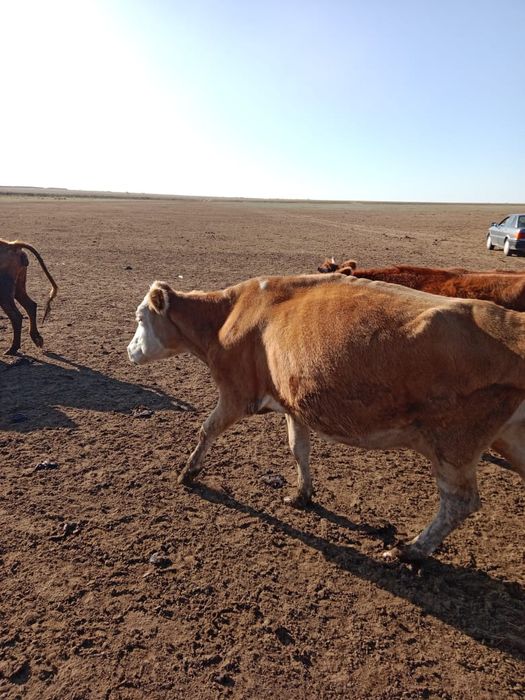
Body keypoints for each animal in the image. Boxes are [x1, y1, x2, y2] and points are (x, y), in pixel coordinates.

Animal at [128, 273, 525, 562]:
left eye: (140, 318)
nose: (130, 350)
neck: (228, 316)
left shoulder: (235, 395)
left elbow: (207, 430)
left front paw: (189, 473)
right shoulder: (293, 404)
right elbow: (298, 449)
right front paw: (301, 494)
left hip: (453, 443)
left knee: (459, 502)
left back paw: (411, 550)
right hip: (508, 438)